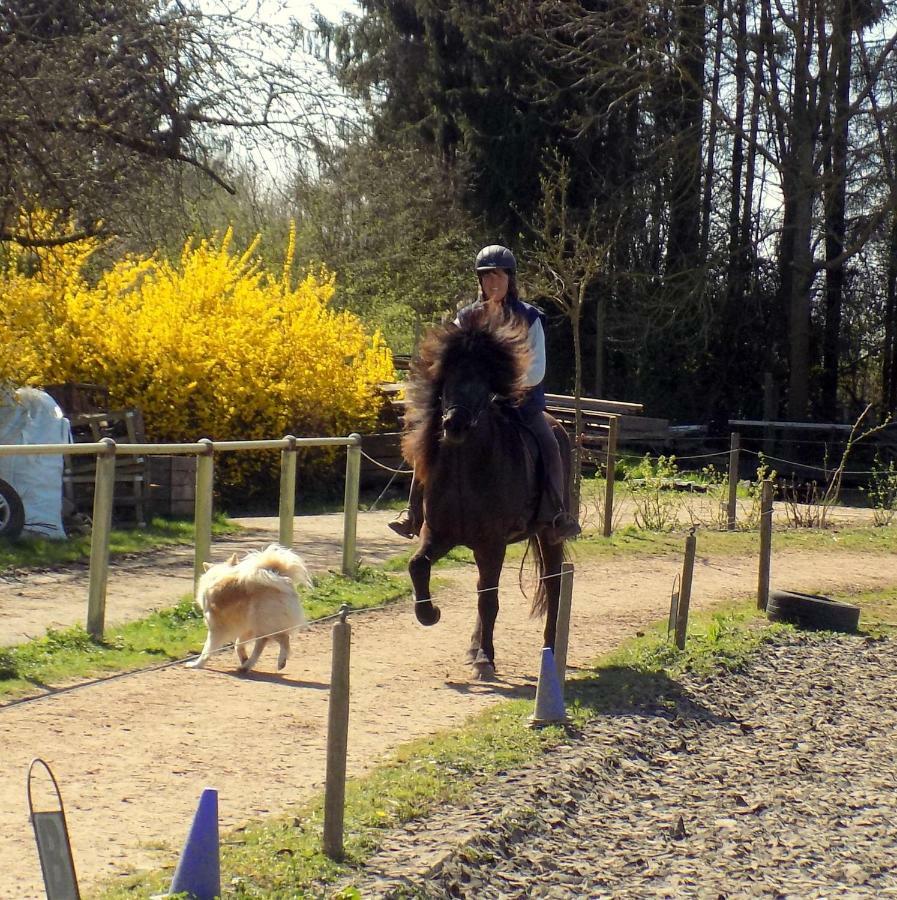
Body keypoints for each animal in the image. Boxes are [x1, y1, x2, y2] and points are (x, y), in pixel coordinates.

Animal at [186, 540, 312, 676]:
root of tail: (279, 576)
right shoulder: (246, 628)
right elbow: (238, 645)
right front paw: (243, 658)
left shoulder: (216, 628)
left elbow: (207, 650)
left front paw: (197, 664)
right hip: (259, 624)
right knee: (263, 644)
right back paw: (246, 665)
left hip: (265, 623)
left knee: (282, 639)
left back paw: (280, 661)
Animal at [400, 306, 572, 680]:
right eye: (448, 377)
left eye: (483, 381)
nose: (454, 424)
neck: (467, 471)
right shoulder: (439, 534)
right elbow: (418, 566)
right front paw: (429, 614)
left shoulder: (491, 543)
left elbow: (489, 600)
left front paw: (485, 659)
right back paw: (473, 646)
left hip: (549, 535)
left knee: (553, 584)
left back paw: (549, 648)